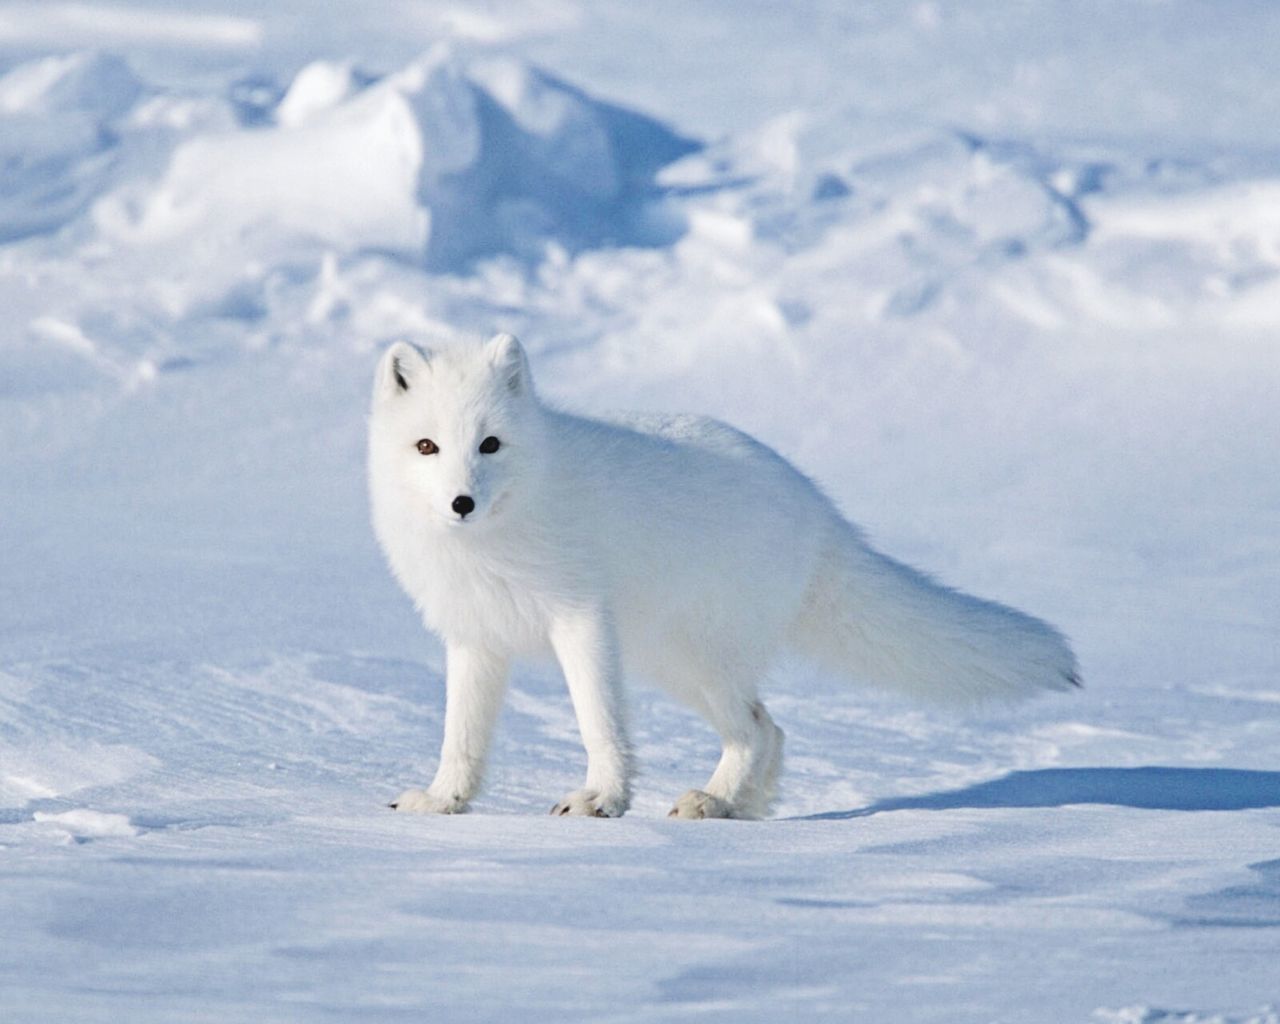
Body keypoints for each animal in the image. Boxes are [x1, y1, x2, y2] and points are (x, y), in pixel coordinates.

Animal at [371, 335, 1080, 824]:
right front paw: (442, 801)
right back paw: (738, 806)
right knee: (771, 728)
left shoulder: (581, 620)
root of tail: (819, 510)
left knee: (757, 727)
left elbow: (600, 721)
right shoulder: (475, 638)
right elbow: (461, 736)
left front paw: (601, 799)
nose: (462, 502)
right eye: (428, 446)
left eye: (490, 444)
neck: (493, 540)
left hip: (694, 657)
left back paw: (713, 802)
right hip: (673, 662)